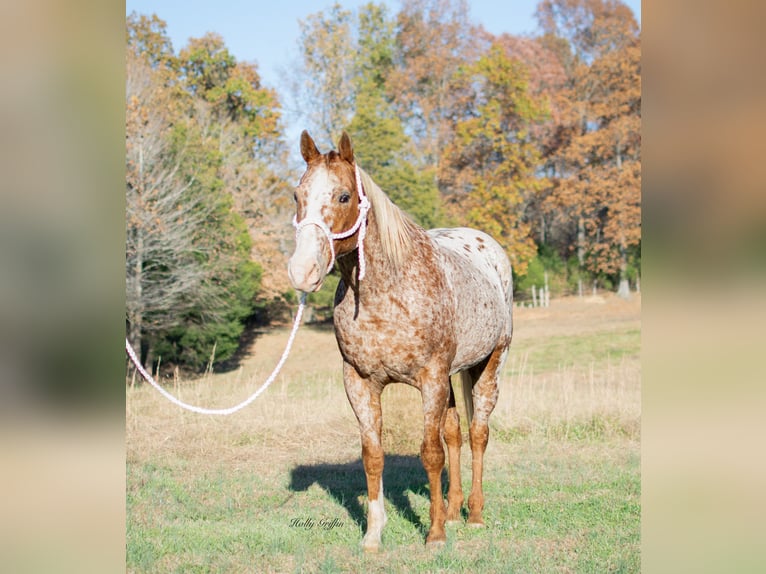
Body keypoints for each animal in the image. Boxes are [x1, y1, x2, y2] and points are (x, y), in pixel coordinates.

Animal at [284, 130, 512, 552]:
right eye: (297, 195)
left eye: (343, 196)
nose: (301, 270)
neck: (385, 291)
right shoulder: (359, 382)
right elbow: (373, 454)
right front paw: (373, 534)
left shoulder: (431, 378)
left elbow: (431, 454)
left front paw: (434, 534)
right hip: (451, 380)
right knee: (455, 433)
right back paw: (453, 511)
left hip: (489, 366)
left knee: (478, 434)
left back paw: (473, 515)